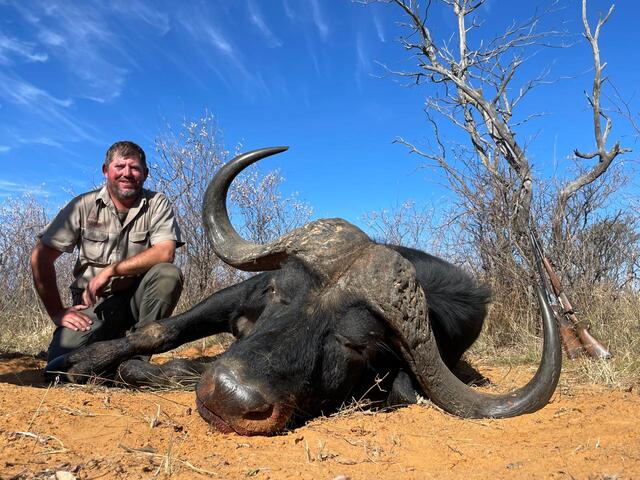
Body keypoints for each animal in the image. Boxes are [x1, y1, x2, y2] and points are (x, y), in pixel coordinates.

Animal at [46, 146, 562, 436]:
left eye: (355, 344)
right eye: (279, 293)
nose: (228, 397)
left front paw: (160, 370)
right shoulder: (237, 296)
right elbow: (156, 333)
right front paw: (79, 362)